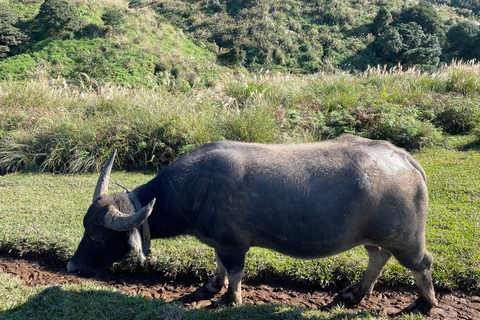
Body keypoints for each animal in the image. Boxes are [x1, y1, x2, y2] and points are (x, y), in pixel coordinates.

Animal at [67, 134, 438, 314]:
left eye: (98, 235)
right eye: (85, 225)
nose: (72, 267)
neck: (195, 189)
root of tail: (404, 158)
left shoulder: (234, 245)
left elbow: (235, 272)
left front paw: (230, 299)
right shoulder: (219, 242)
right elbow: (218, 265)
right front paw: (212, 286)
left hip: (406, 240)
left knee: (421, 264)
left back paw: (424, 304)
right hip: (379, 237)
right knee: (378, 257)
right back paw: (356, 292)